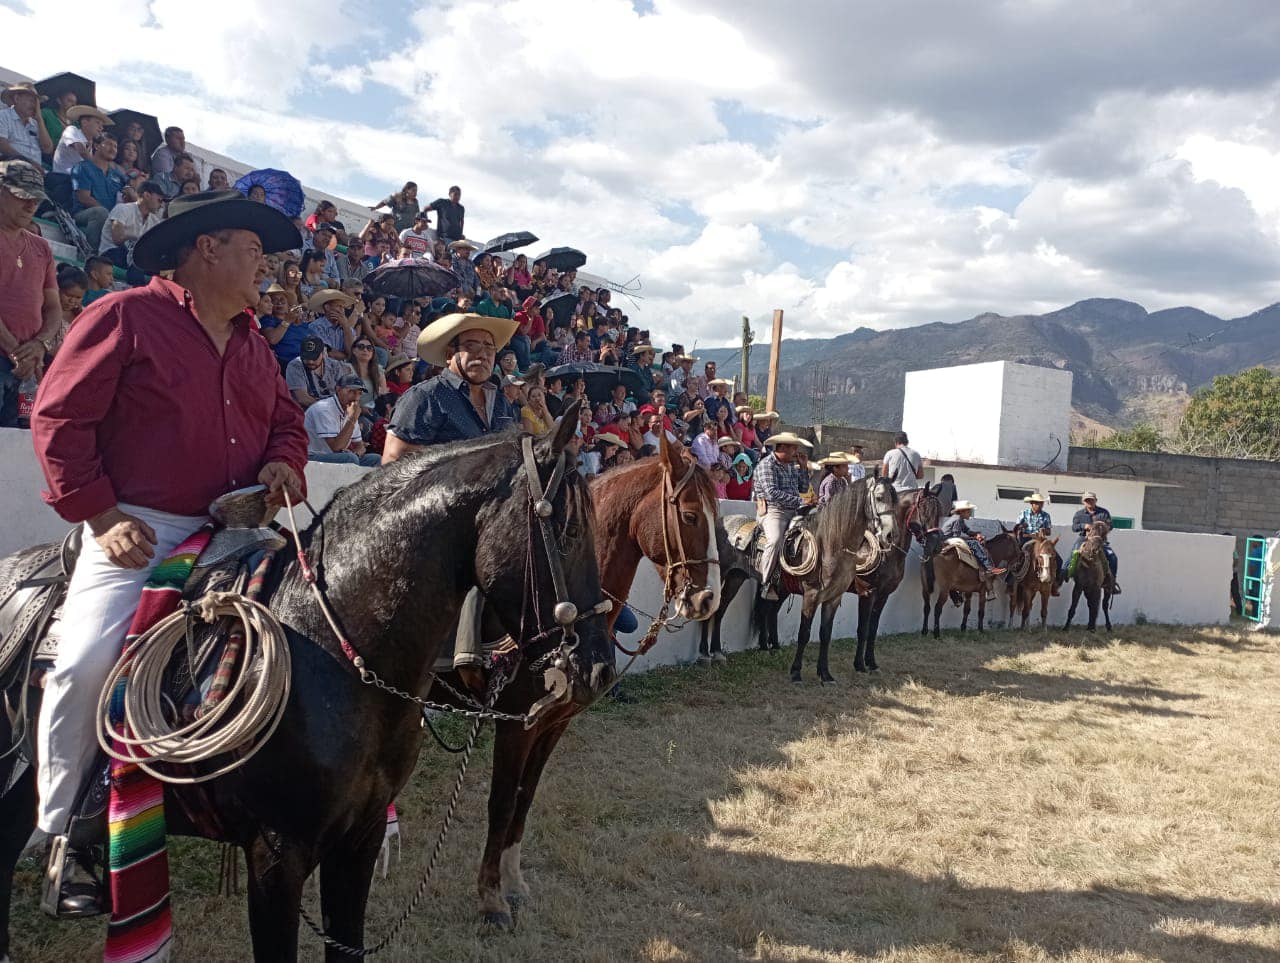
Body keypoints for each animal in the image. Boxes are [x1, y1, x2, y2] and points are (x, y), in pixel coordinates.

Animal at [422, 430, 716, 927]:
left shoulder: (554, 724)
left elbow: (526, 796)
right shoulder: (516, 724)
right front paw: (491, 899)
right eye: (691, 515)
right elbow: (502, 802)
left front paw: (514, 882)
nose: (706, 600)